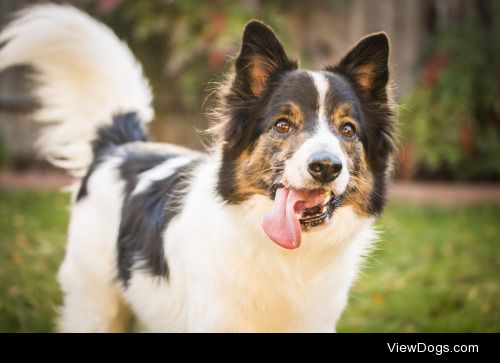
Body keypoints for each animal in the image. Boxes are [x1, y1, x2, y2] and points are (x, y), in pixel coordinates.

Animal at [0, 4, 396, 332]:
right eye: (282, 125)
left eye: (348, 130)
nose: (326, 167)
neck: (285, 258)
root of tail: (119, 143)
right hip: (96, 303)